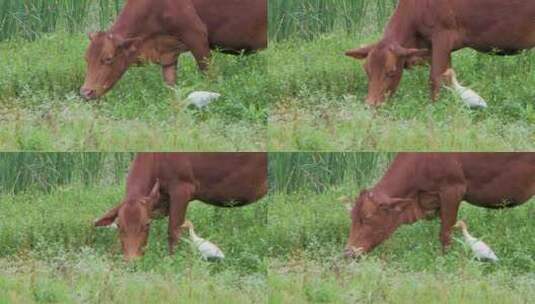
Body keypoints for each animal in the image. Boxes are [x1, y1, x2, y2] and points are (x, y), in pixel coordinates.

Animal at [80, 0, 268, 99]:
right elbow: (171, 86)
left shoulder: (197, 37)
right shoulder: (168, 56)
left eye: (108, 58)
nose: (85, 92)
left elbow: (209, 76)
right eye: (86, 59)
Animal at [93, 153, 268, 260]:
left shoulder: (182, 190)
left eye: (147, 224)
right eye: (119, 226)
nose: (132, 260)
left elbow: (173, 232)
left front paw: (172, 260)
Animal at [346, 0, 535, 107]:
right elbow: (448, 79)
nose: (371, 105)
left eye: (391, 72)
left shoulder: (443, 37)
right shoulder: (429, 49)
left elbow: (436, 78)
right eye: (367, 71)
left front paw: (435, 109)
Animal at [346, 153, 532, 258]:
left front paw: (444, 260)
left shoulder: (453, 190)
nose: (348, 252)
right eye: (352, 218)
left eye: (367, 219)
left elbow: (445, 233)